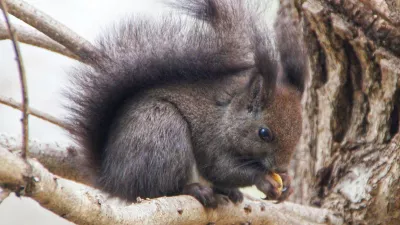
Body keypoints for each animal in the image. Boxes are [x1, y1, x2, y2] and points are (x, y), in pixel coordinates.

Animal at [65, 0, 306, 208]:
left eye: (299, 132)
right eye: (264, 133)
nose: (281, 167)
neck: (227, 114)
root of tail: (113, 180)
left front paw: (288, 182)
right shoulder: (212, 138)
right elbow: (220, 168)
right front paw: (263, 178)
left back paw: (228, 192)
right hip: (162, 132)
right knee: (161, 189)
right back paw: (195, 190)